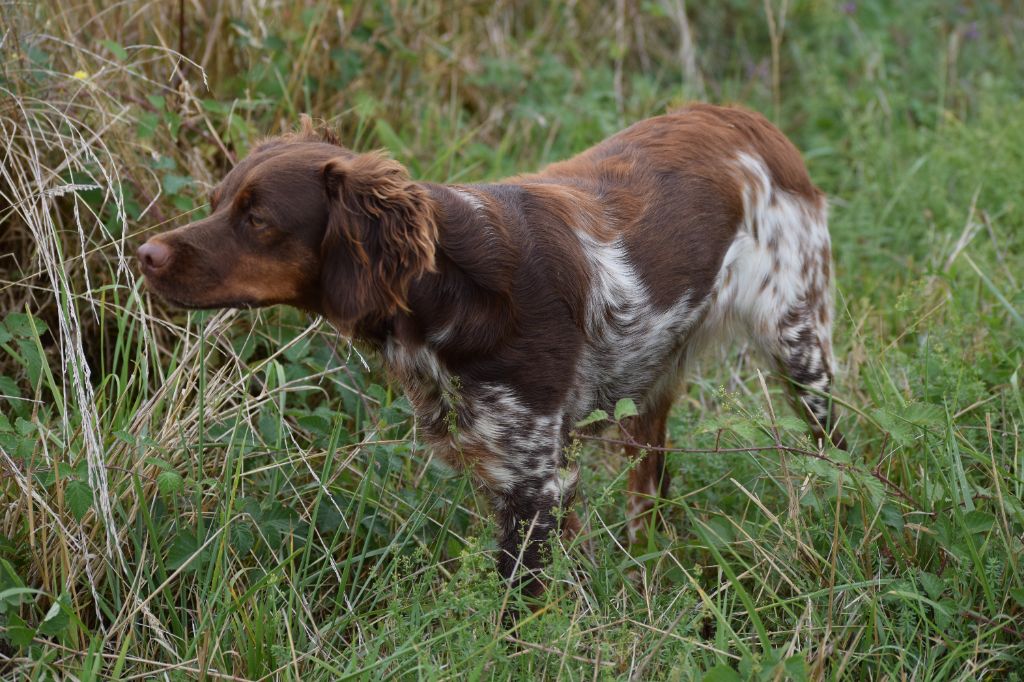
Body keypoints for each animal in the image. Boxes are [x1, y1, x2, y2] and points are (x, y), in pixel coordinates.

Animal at [140, 103, 843, 593]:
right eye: (217, 201)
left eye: (257, 219)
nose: (144, 254)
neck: (451, 290)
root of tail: (749, 120)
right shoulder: (509, 467)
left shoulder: (532, 480)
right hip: (651, 386)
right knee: (649, 485)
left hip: (798, 345)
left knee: (833, 445)